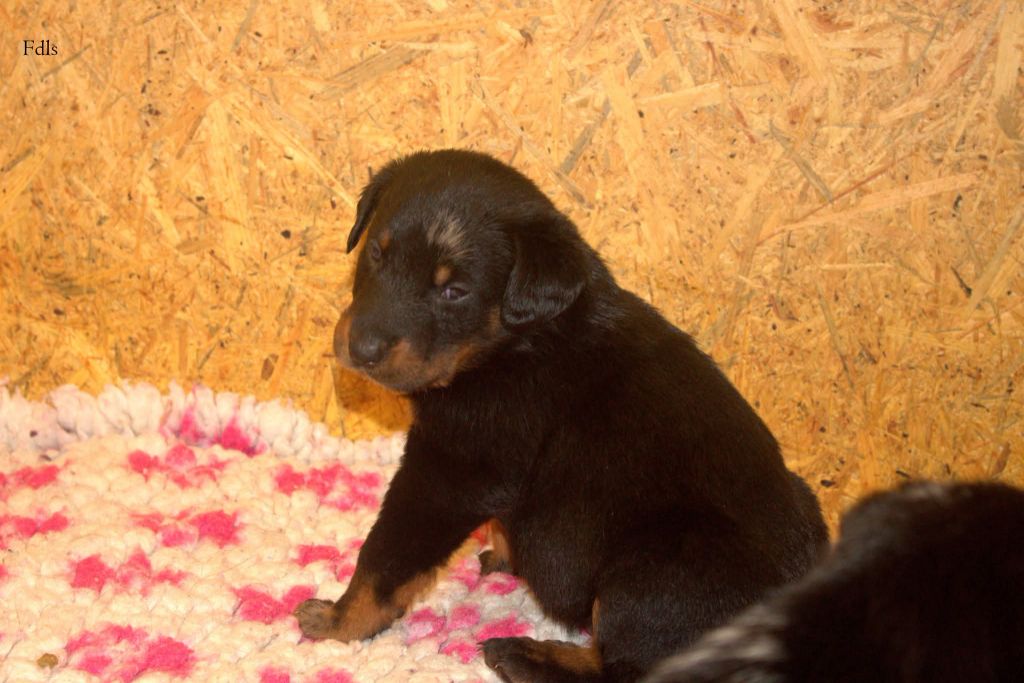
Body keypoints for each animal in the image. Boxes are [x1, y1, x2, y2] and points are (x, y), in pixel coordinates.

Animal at [293, 149, 828, 682]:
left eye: (454, 291)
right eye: (376, 254)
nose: (361, 349)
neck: (510, 341)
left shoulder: (453, 469)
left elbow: (386, 554)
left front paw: (338, 621)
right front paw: (505, 554)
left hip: (653, 569)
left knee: (632, 667)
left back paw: (523, 653)